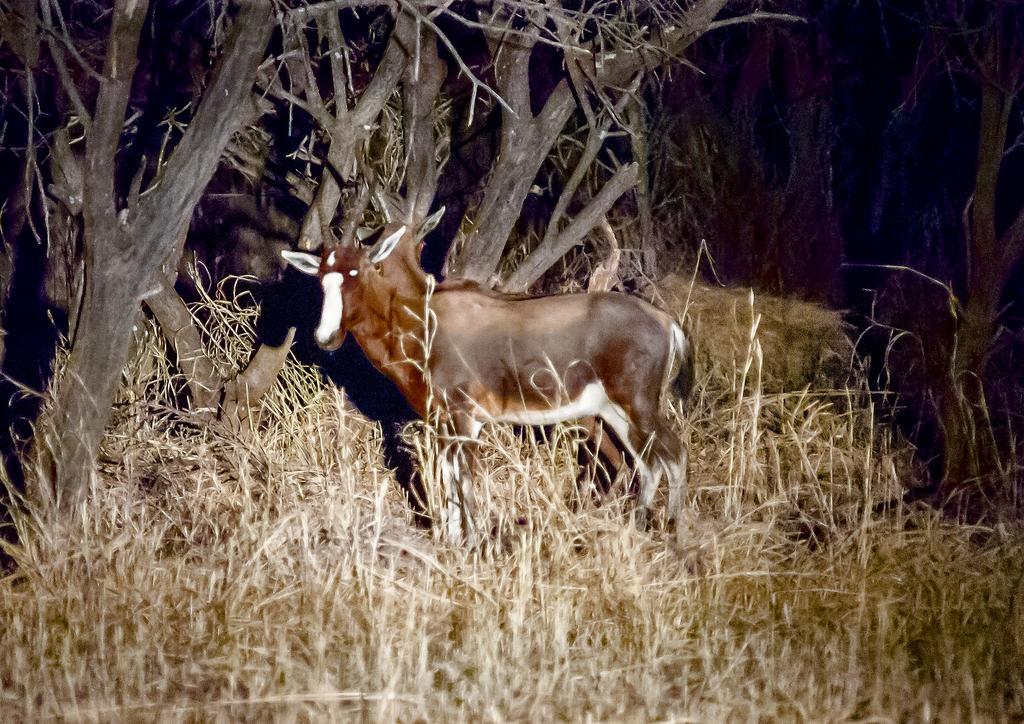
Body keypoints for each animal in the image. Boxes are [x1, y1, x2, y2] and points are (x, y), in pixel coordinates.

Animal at [284, 211, 692, 540]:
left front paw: (471, 543)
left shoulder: (465, 419)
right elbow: (449, 477)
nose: (326, 337)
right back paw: (638, 526)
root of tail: (665, 322)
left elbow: (463, 479)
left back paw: (674, 531)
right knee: (647, 463)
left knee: (674, 454)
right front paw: (450, 542)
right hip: (614, 413)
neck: (425, 317)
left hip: (638, 407)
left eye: (359, 271)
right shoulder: (445, 423)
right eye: (322, 276)